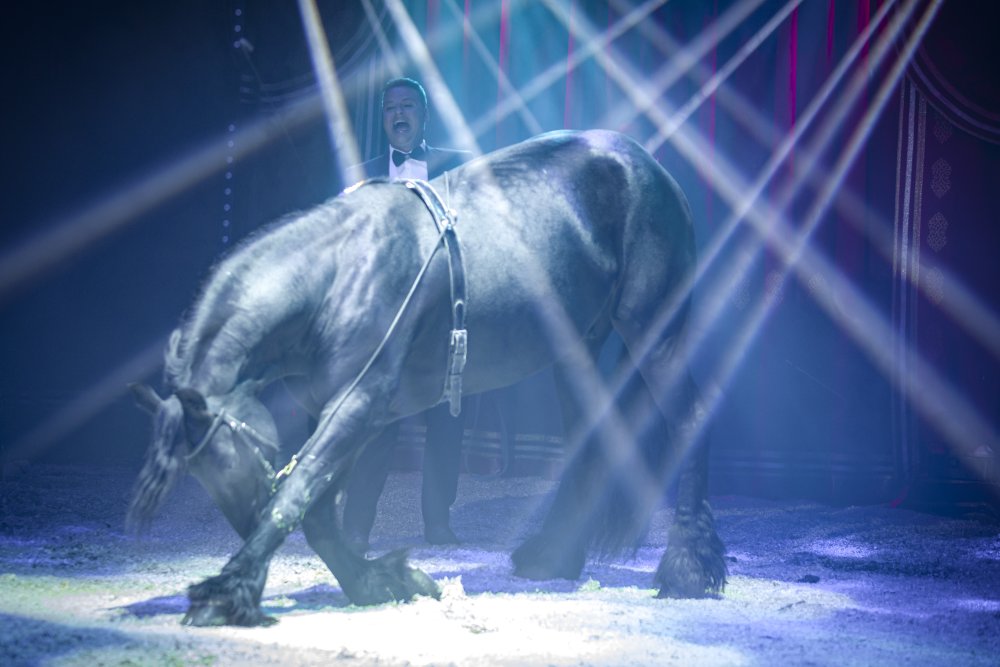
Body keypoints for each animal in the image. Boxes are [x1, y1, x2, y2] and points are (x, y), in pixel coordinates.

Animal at [128, 129, 727, 627]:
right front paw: (381, 580)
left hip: (653, 325)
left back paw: (688, 571)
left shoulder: (358, 405)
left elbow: (298, 494)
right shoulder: (344, 410)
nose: (245, 519)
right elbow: (319, 510)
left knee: (692, 419)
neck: (341, 273)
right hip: (577, 347)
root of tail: (648, 163)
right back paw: (553, 556)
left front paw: (226, 593)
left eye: (232, 460)